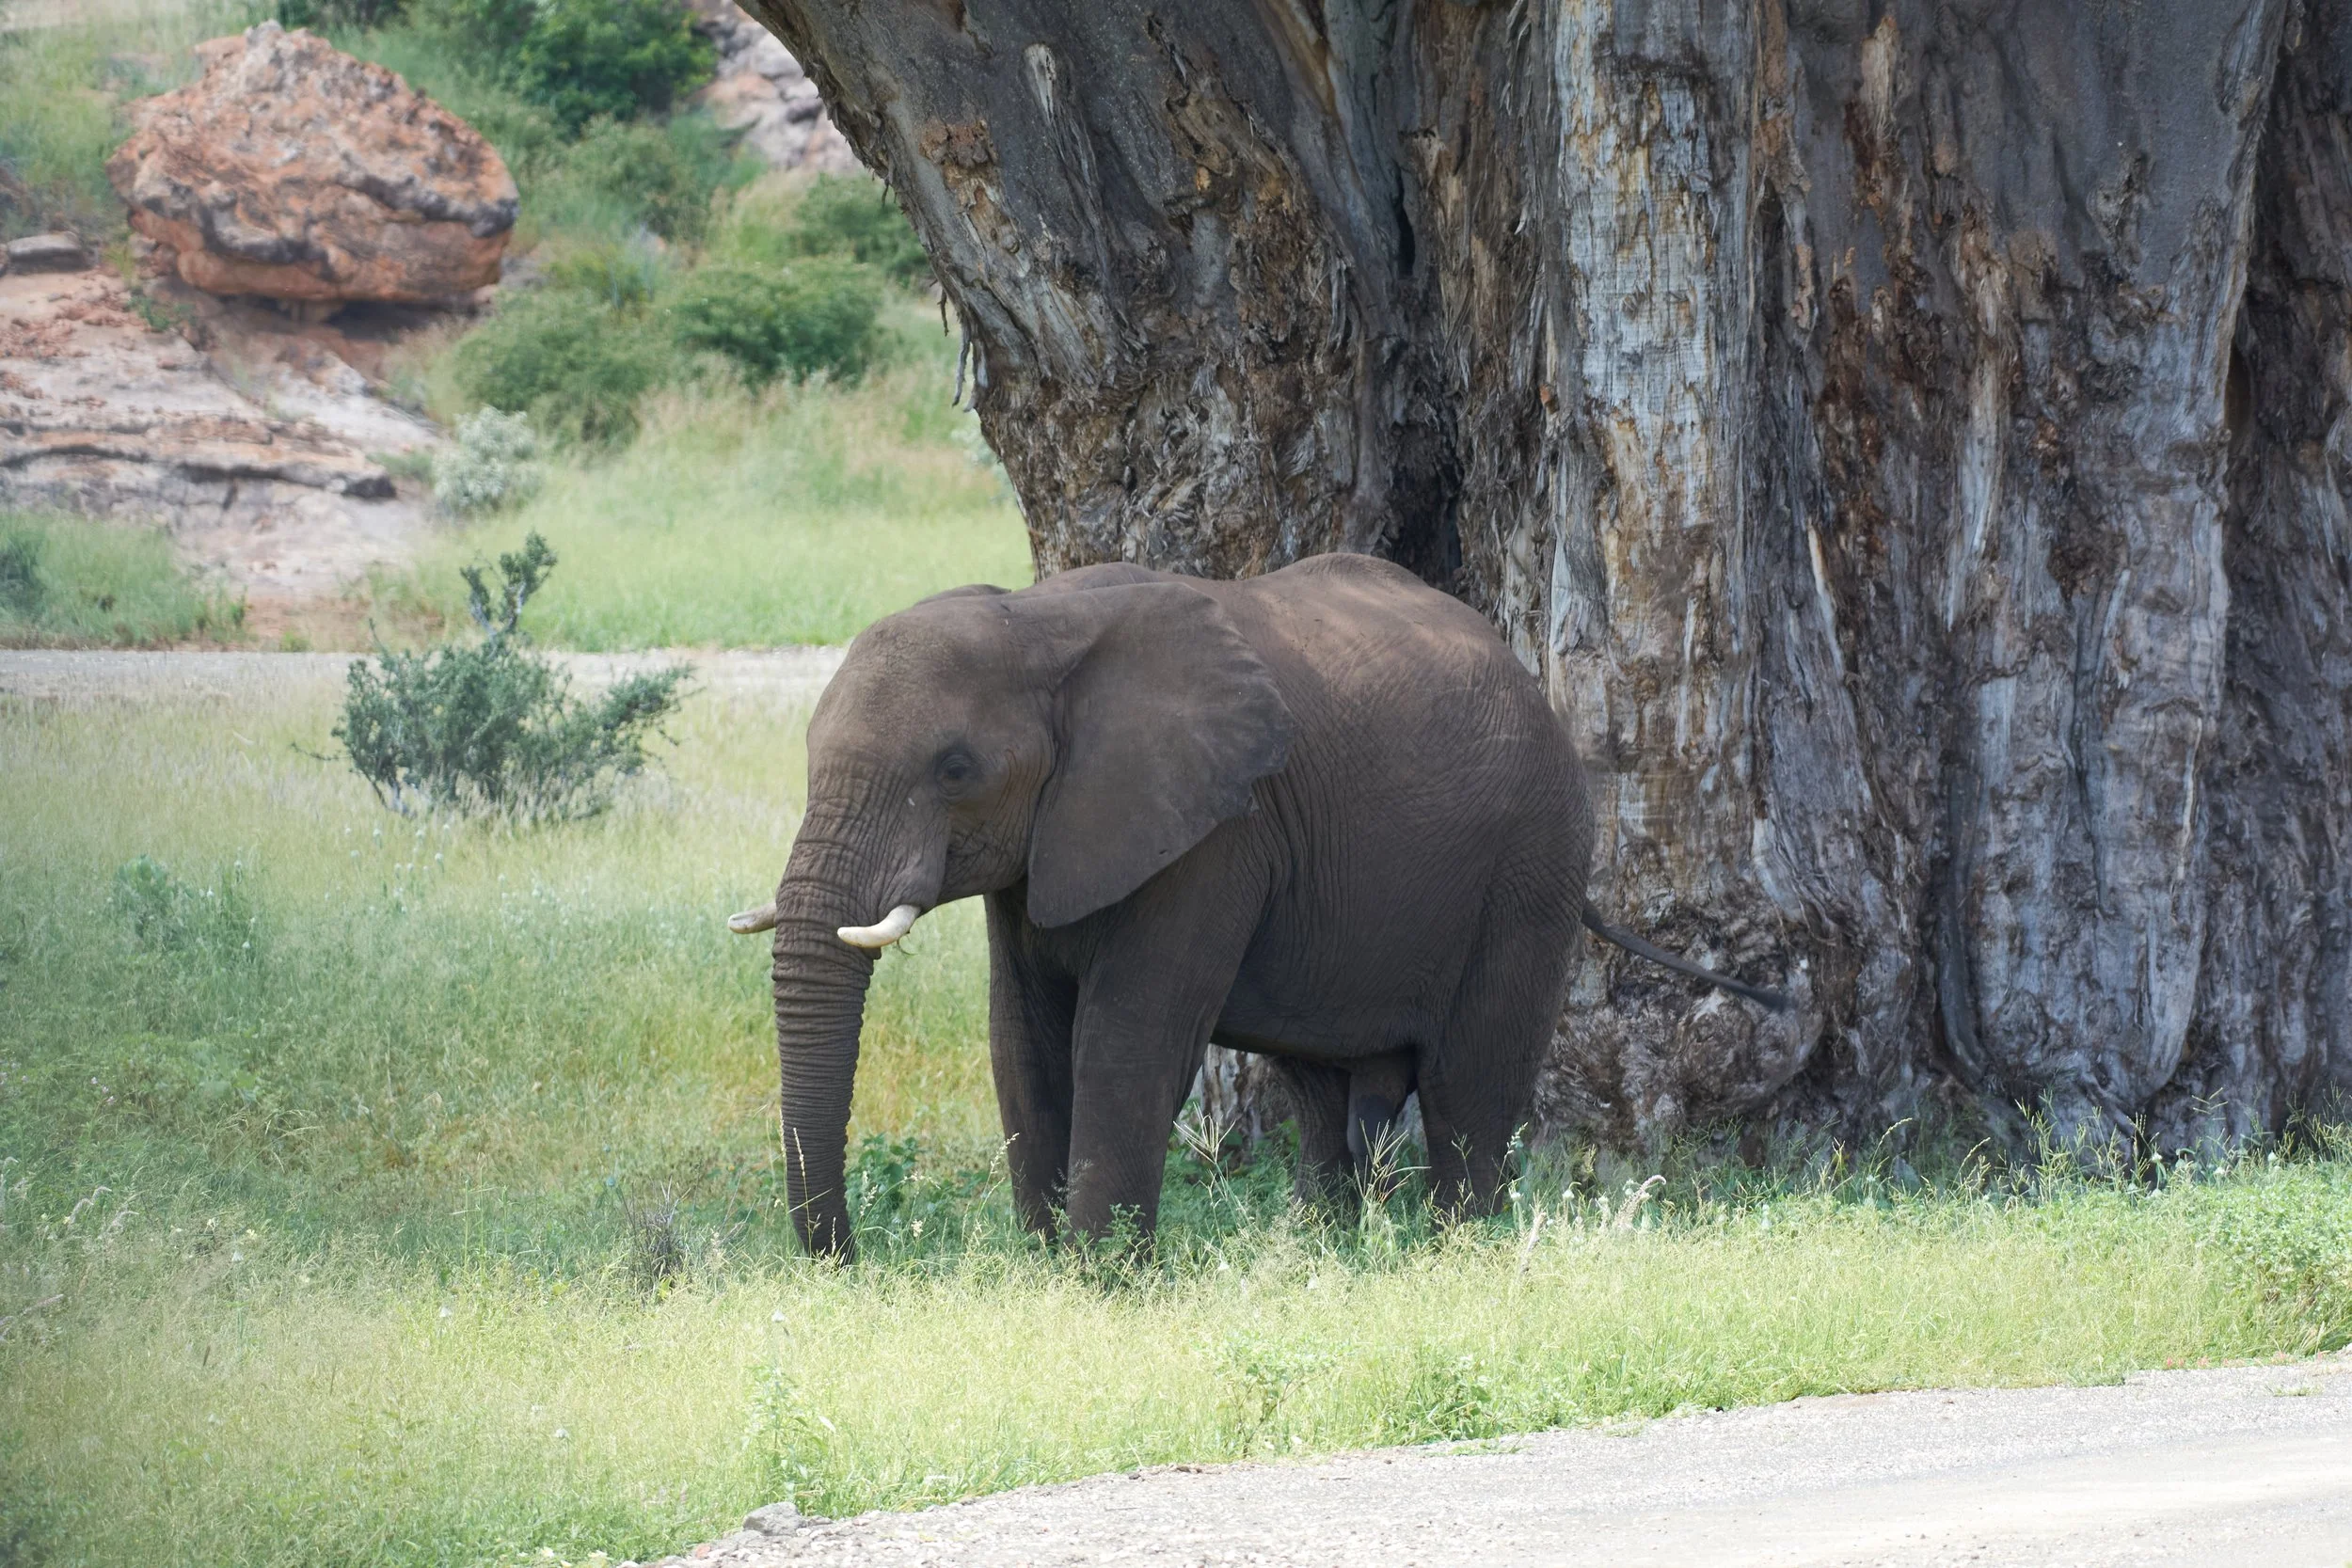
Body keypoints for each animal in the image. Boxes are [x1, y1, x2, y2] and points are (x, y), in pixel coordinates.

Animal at [731, 554, 1786, 1259]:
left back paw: (1462, 1251)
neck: (1037, 619)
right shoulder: (1043, 845)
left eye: (954, 768)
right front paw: (1045, 1270)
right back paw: (1326, 1251)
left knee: (1467, 1087)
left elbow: (1127, 1038)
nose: (846, 1263)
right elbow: (1020, 1039)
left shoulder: (1214, 833)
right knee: (1322, 1097)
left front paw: (1102, 1281)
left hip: (1532, 861)